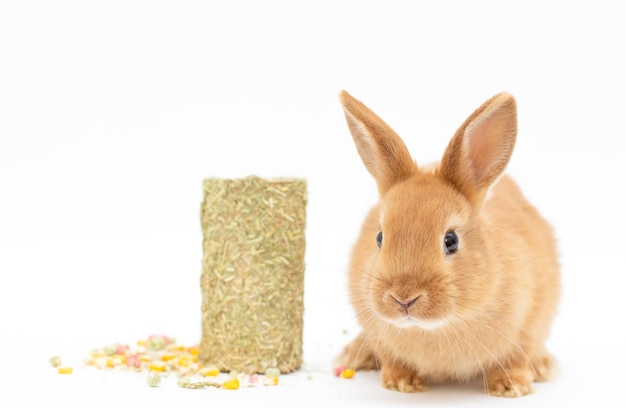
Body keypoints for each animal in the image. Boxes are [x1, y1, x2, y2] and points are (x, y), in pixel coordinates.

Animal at [336, 90, 560, 398]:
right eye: (380, 237)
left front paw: (512, 386)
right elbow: (391, 357)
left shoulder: (527, 321)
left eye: (450, 240)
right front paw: (401, 381)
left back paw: (543, 366)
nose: (403, 298)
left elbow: (516, 356)